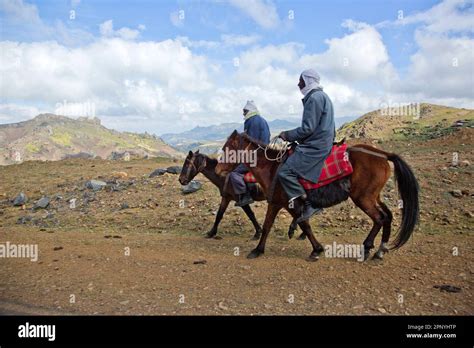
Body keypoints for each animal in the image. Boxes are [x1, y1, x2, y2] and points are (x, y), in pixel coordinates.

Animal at [215, 131, 418, 260]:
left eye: (227, 149)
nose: (217, 169)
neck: (272, 168)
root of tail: (383, 155)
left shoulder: (285, 203)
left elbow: (289, 225)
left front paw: (258, 250)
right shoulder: (284, 204)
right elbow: (287, 225)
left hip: (363, 198)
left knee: (379, 218)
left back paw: (367, 249)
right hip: (374, 197)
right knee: (387, 216)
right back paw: (380, 250)